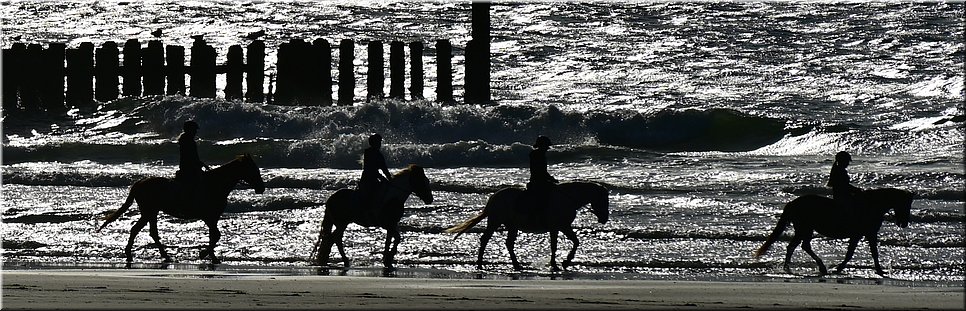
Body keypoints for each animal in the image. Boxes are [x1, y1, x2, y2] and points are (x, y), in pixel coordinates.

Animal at [98, 155, 264, 264]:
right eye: (253, 169)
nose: (261, 188)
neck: (215, 184)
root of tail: (139, 183)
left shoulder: (213, 218)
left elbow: (214, 236)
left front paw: (211, 256)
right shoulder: (208, 217)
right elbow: (216, 236)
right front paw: (204, 254)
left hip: (151, 212)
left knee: (144, 231)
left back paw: (156, 255)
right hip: (149, 211)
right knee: (143, 231)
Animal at [448, 182, 612, 272]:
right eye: (604, 200)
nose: (604, 219)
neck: (567, 198)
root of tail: (494, 198)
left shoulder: (563, 226)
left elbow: (575, 242)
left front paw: (564, 262)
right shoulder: (558, 227)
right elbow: (555, 246)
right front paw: (557, 264)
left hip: (511, 226)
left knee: (508, 244)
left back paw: (516, 265)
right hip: (495, 221)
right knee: (485, 240)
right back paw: (480, 264)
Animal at [756, 188, 916, 276]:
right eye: (905, 204)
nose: (904, 224)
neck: (871, 206)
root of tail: (793, 202)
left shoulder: (867, 234)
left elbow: (871, 252)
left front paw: (880, 270)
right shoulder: (862, 234)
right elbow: (853, 253)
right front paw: (839, 268)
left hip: (804, 229)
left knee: (794, 246)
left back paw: (788, 267)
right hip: (804, 229)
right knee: (802, 246)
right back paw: (819, 267)